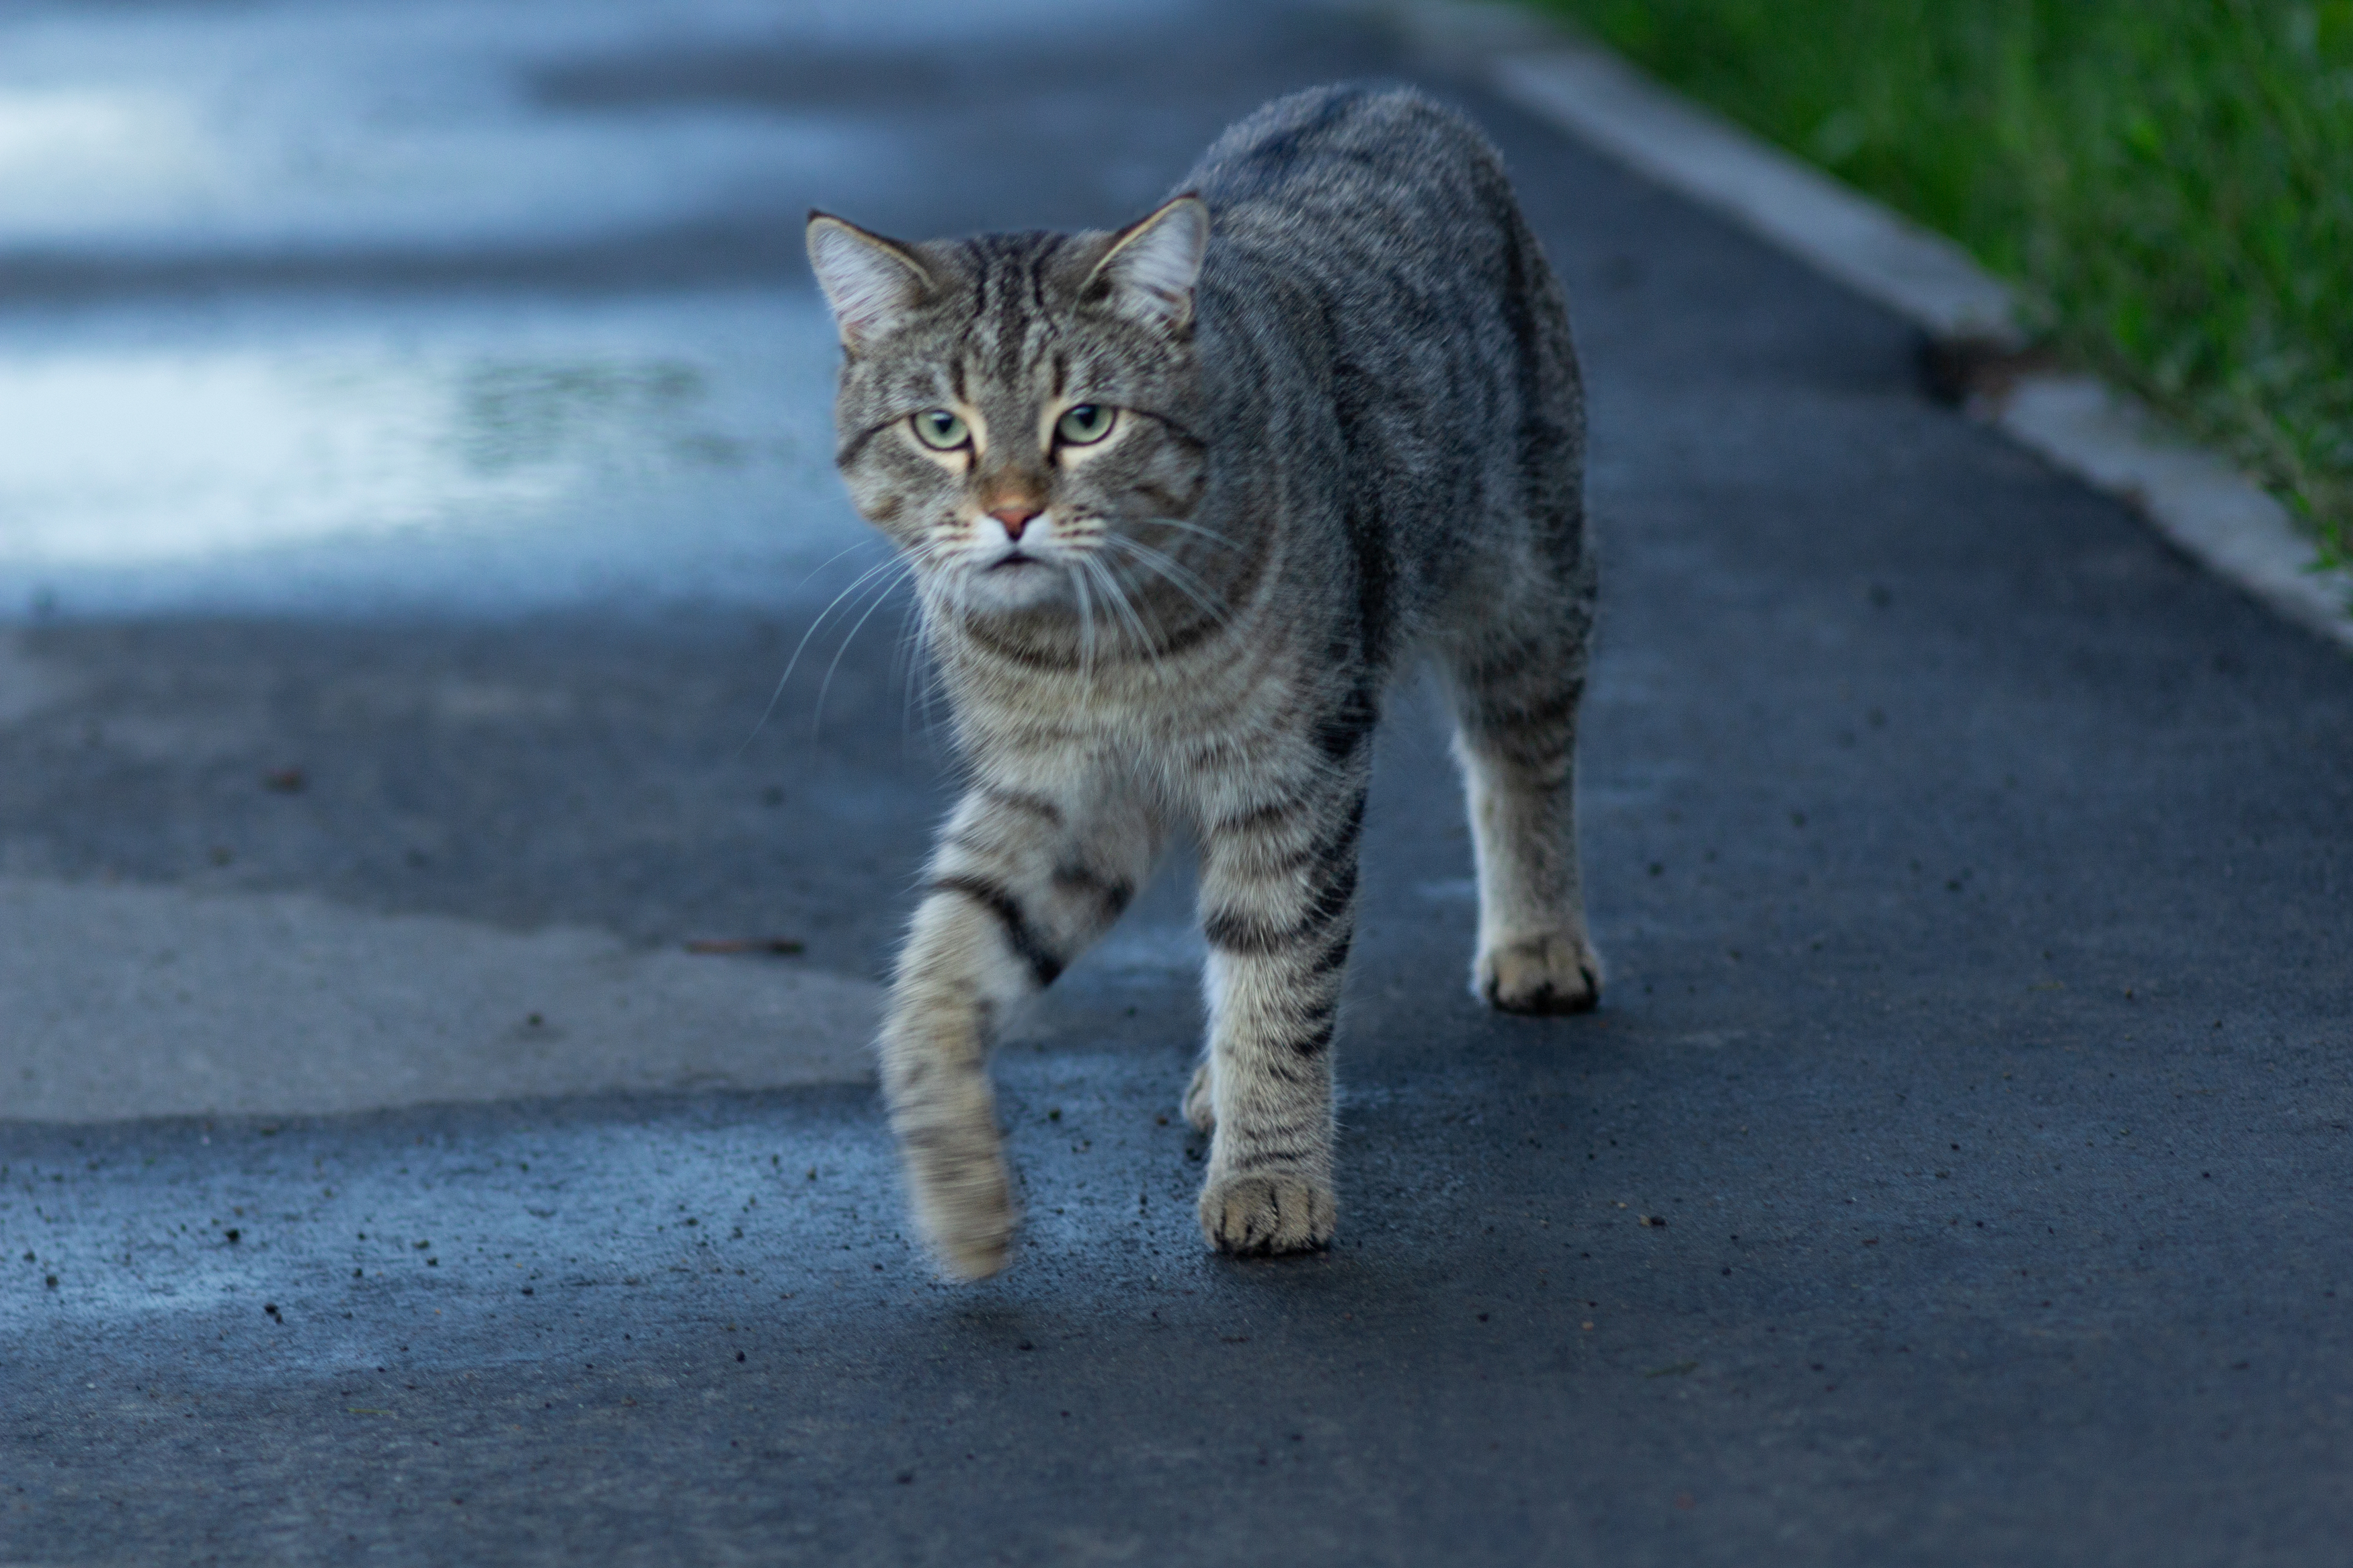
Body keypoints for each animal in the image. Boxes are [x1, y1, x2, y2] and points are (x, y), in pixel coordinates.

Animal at [809, 83, 1600, 1278]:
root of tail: (1388, 89)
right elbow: (942, 965)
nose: (1011, 512)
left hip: (1522, 578)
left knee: (1520, 751)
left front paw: (1269, 1171)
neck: (1093, 642)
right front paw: (960, 1191)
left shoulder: (1294, 767)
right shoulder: (1062, 792)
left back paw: (1536, 938)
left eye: (1086, 422)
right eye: (942, 429)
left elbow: (1282, 973)